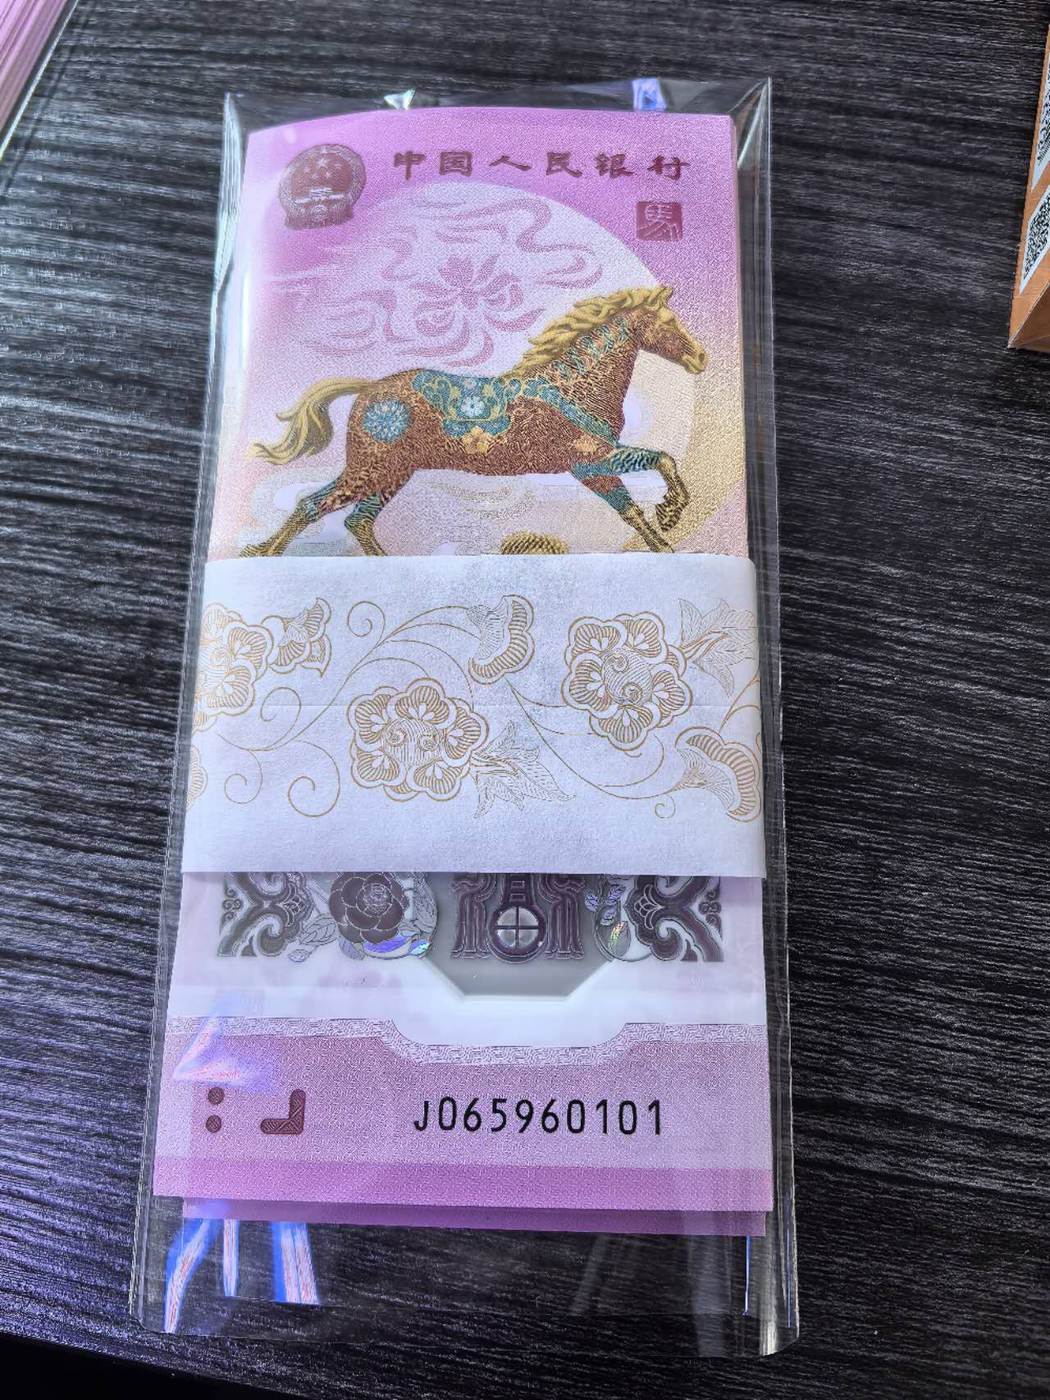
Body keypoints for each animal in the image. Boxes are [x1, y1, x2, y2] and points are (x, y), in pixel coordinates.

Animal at [242, 285, 707, 557]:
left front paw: (665, 542)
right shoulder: (590, 461)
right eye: (667, 323)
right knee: (314, 504)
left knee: (357, 520)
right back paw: (265, 553)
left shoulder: (592, 468)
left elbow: (631, 510)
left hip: (392, 472)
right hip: (371, 468)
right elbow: (662, 461)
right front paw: (670, 514)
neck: (576, 386)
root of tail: (369, 388)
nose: (700, 358)